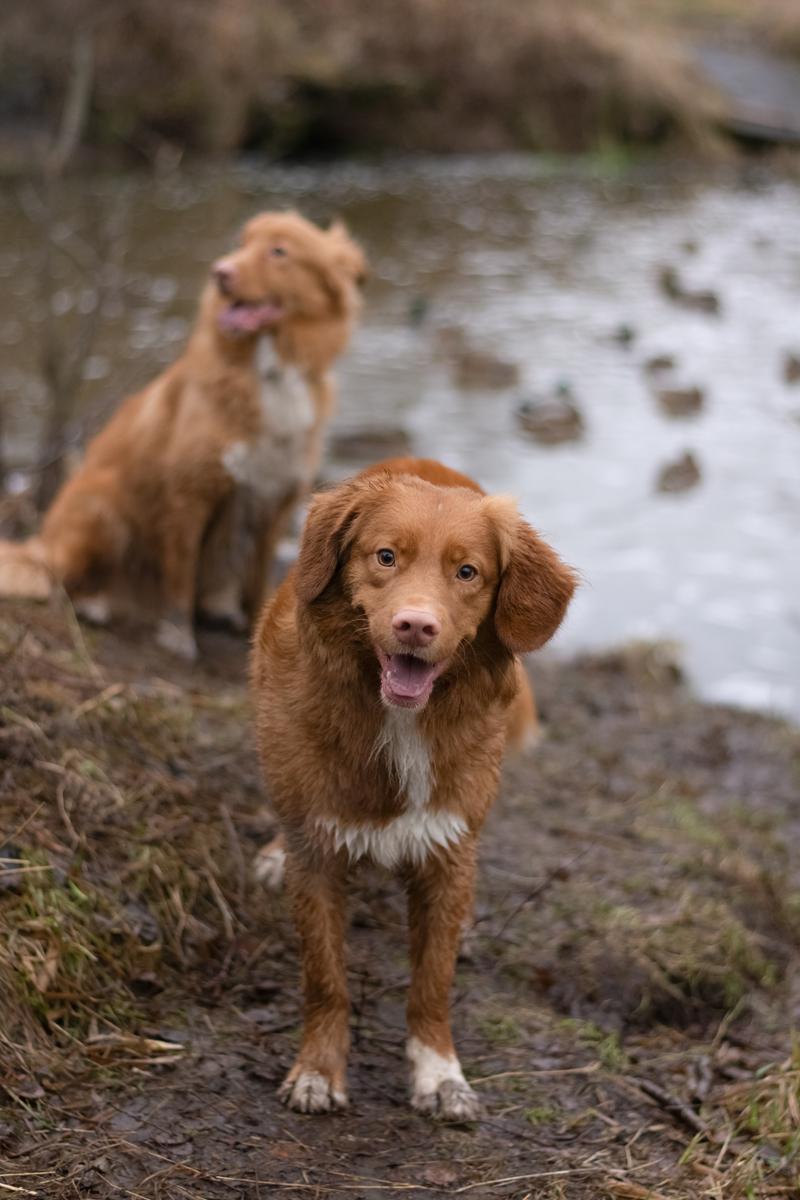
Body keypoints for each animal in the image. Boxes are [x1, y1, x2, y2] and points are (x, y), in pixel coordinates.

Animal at [0, 211, 367, 662]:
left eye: (279, 250)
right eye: (240, 243)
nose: (220, 273)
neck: (270, 373)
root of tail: (41, 548)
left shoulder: (273, 505)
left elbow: (257, 580)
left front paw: (256, 628)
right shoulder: (189, 495)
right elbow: (181, 570)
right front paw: (177, 634)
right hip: (102, 506)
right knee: (61, 582)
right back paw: (96, 605)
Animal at [250, 463, 575, 1118]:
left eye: (467, 572)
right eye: (386, 556)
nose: (416, 625)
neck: (398, 720)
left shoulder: (448, 851)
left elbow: (432, 982)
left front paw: (439, 1073)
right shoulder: (317, 851)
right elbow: (324, 977)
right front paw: (318, 1070)